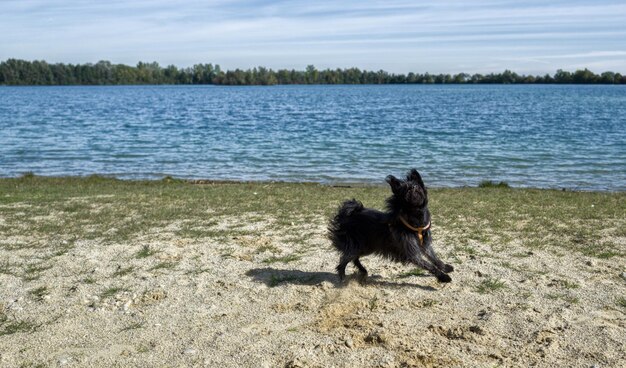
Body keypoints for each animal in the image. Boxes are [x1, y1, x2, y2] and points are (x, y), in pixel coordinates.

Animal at [326, 168, 454, 284]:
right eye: (405, 190)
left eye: (417, 186)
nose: (412, 188)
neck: (415, 215)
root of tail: (348, 213)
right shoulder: (412, 252)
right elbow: (429, 265)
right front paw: (443, 276)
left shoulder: (425, 245)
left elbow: (433, 258)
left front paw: (444, 267)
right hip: (356, 245)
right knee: (344, 259)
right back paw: (342, 275)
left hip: (366, 246)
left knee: (354, 259)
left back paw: (362, 270)